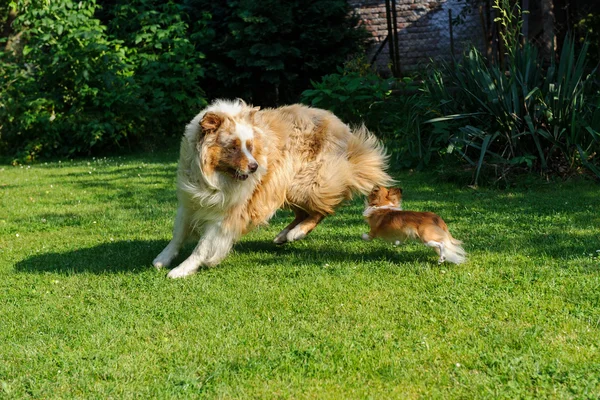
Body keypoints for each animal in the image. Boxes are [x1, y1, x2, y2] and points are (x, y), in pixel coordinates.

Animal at [152, 98, 392, 276]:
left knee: (323, 210)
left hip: (305, 182)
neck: (215, 176)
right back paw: (283, 235)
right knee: (305, 212)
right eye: (233, 147)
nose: (255, 167)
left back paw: (297, 233)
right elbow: (178, 234)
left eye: (250, 146)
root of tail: (343, 128)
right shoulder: (190, 202)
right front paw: (163, 258)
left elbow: (202, 246)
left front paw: (182, 270)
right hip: (284, 187)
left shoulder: (227, 213)